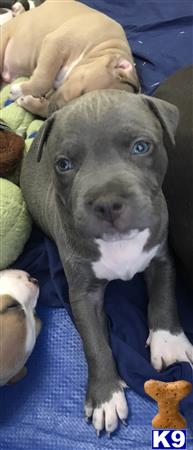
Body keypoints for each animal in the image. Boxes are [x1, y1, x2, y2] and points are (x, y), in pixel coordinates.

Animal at [0, 0, 139, 116]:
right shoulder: (55, 44)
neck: (102, 47)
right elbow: (43, 79)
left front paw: (27, 101)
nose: (55, 106)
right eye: (82, 92)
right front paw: (19, 91)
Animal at [20, 90, 193, 436]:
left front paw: (168, 343)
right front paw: (105, 397)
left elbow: (164, 297)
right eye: (64, 164)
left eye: (141, 147)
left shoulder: (162, 258)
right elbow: (95, 343)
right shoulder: (83, 295)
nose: (107, 203)